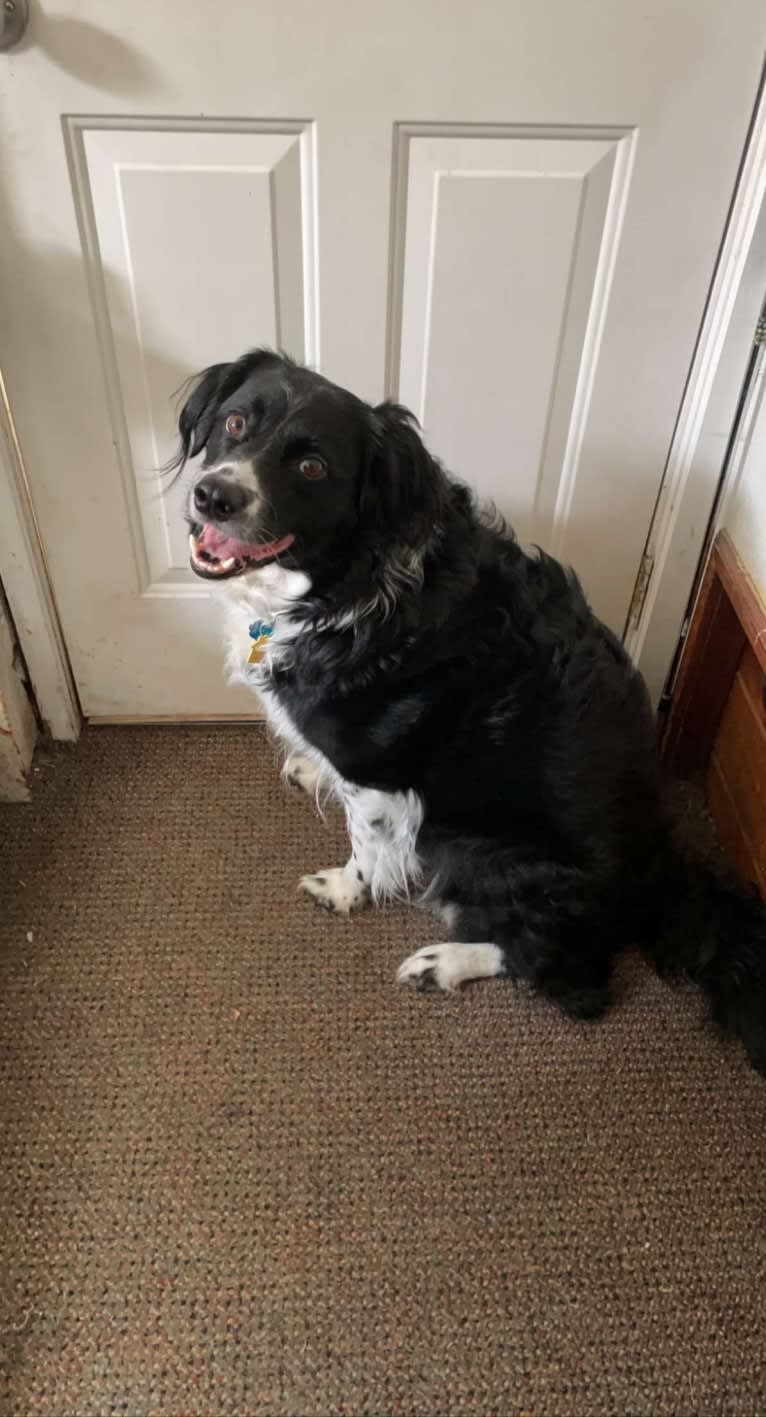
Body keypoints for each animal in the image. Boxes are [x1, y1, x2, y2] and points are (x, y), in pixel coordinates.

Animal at [173, 351, 764, 1071]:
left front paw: (345, 890)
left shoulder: (381, 773)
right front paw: (312, 770)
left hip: (482, 845)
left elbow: (367, 843)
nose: (214, 496)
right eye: (236, 423)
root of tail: (660, 881)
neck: (345, 583)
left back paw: (445, 962)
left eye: (312, 467)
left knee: (571, 975)